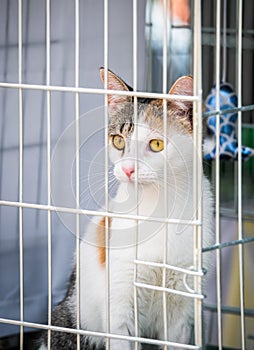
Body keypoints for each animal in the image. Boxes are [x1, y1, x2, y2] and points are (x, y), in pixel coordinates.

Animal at [39, 69, 214, 350]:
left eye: (156, 145)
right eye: (118, 141)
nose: (128, 169)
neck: (157, 206)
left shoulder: (183, 304)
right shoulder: (119, 300)